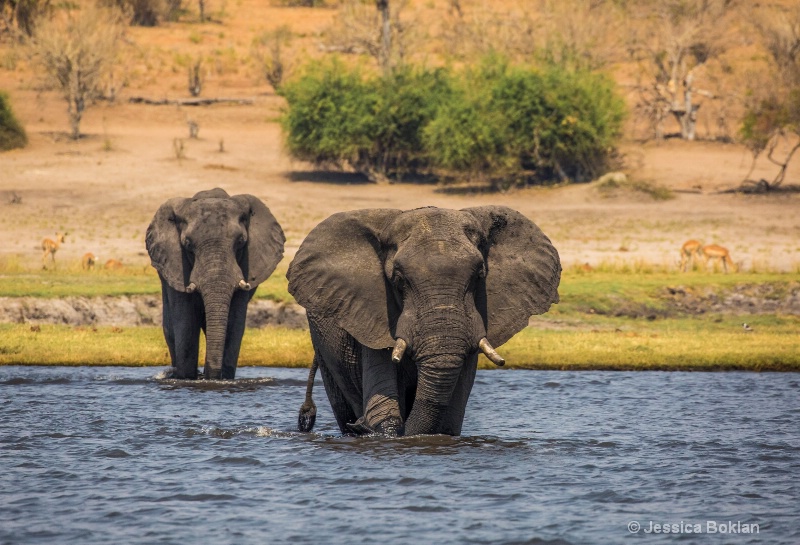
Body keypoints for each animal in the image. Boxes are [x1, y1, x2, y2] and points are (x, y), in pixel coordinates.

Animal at [147, 187, 284, 378]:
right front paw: (187, 378)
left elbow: (234, 324)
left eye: (241, 242)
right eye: (187, 244)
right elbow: (186, 321)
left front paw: (222, 378)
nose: (207, 375)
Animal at [290, 206, 564, 436]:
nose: (359, 425)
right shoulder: (371, 311)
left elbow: (450, 419)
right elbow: (384, 407)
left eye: (480, 275)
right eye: (398, 280)